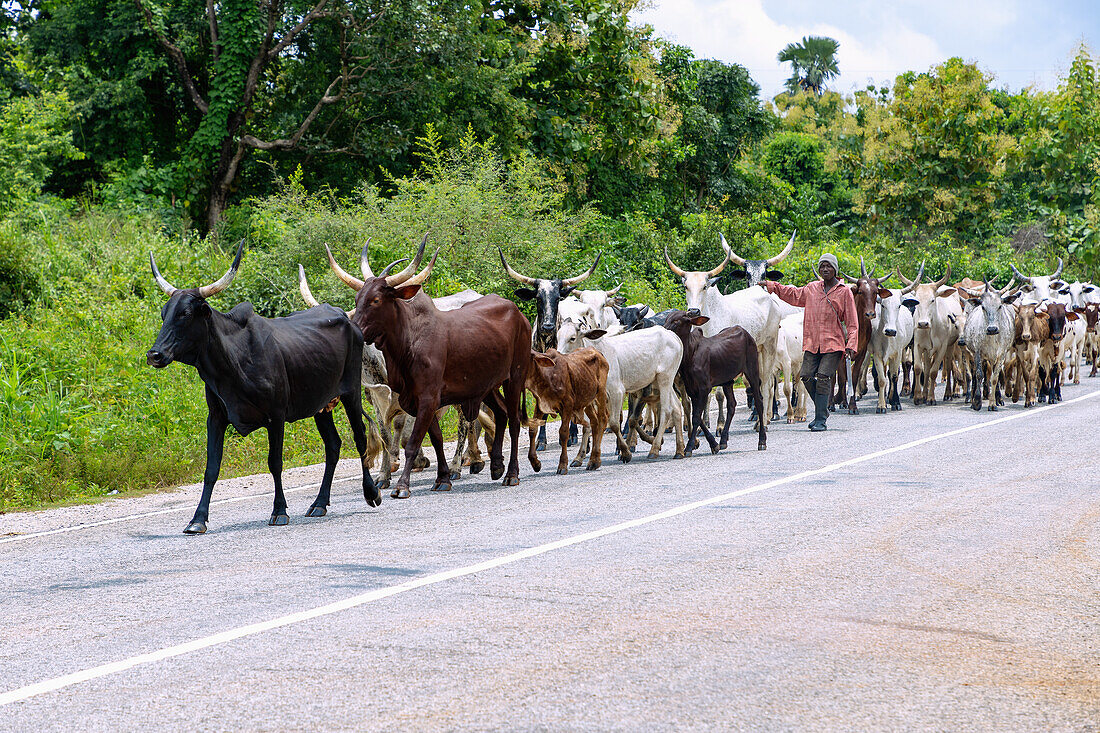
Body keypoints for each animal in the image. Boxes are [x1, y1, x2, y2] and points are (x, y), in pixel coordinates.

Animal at [146, 239, 380, 530]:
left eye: (186, 313)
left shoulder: (276, 415)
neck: (232, 364)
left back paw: (371, 492)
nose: (154, 354)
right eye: (164, 313)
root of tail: (345, 317)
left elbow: (275, 463)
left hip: (351, 393)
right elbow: (211, 469)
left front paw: (279, 510)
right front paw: (198, 519)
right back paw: (319, 504)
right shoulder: (216, 417)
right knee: (333, 446)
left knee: (360, 437)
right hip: (320, 404)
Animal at [334, 234, 532, 497]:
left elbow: (413, 442)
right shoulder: (416, 400)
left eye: (375, 300)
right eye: (357, 299)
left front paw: (402, 486)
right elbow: (436, 439)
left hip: (514, 377)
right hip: (486, 385)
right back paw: (497, 465)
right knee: (500, 414)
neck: (407, 346)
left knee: (514, 420)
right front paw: (442, 478)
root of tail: (517, 312)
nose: (353, 331)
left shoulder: (428, 398)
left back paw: (511, 474)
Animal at [660, 305, 765, 451]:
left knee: (759, 400)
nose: (663, 331)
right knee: (732, 404)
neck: (688, 356)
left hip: (752, 371)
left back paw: (762, 440)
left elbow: (697, 417)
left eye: (676, 321)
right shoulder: (691, 389)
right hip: (727, 381)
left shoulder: (705, 387)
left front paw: (689, 447)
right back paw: (723, 439)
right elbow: (696, 416)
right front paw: (713, 444)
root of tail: (745, 332)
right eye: (666, 319)